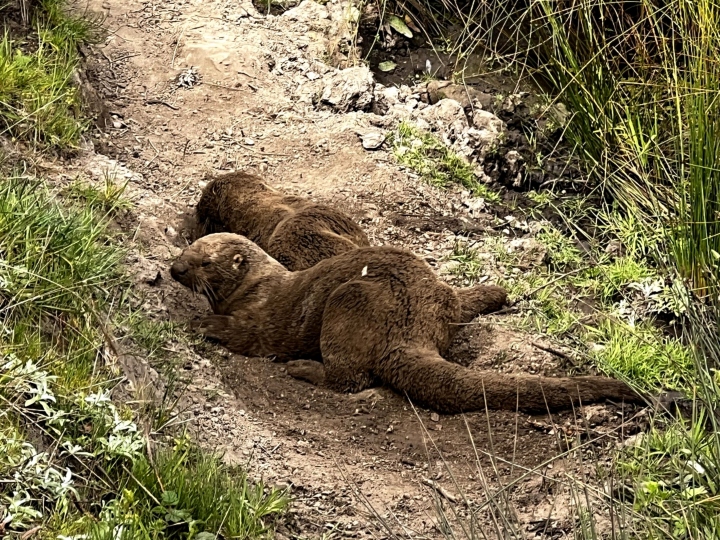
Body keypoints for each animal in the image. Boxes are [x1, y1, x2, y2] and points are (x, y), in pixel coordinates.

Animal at [172, 233, 644, 414]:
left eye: (204, 261)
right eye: (186, 249)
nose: (175, 269)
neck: (258, 285)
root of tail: (412, 327)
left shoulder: (263, 318)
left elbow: (245, 335)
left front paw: (206, 323)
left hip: (350, 301)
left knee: (351, 380)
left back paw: (302, 368)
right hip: (437, 299)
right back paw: (491, 292)